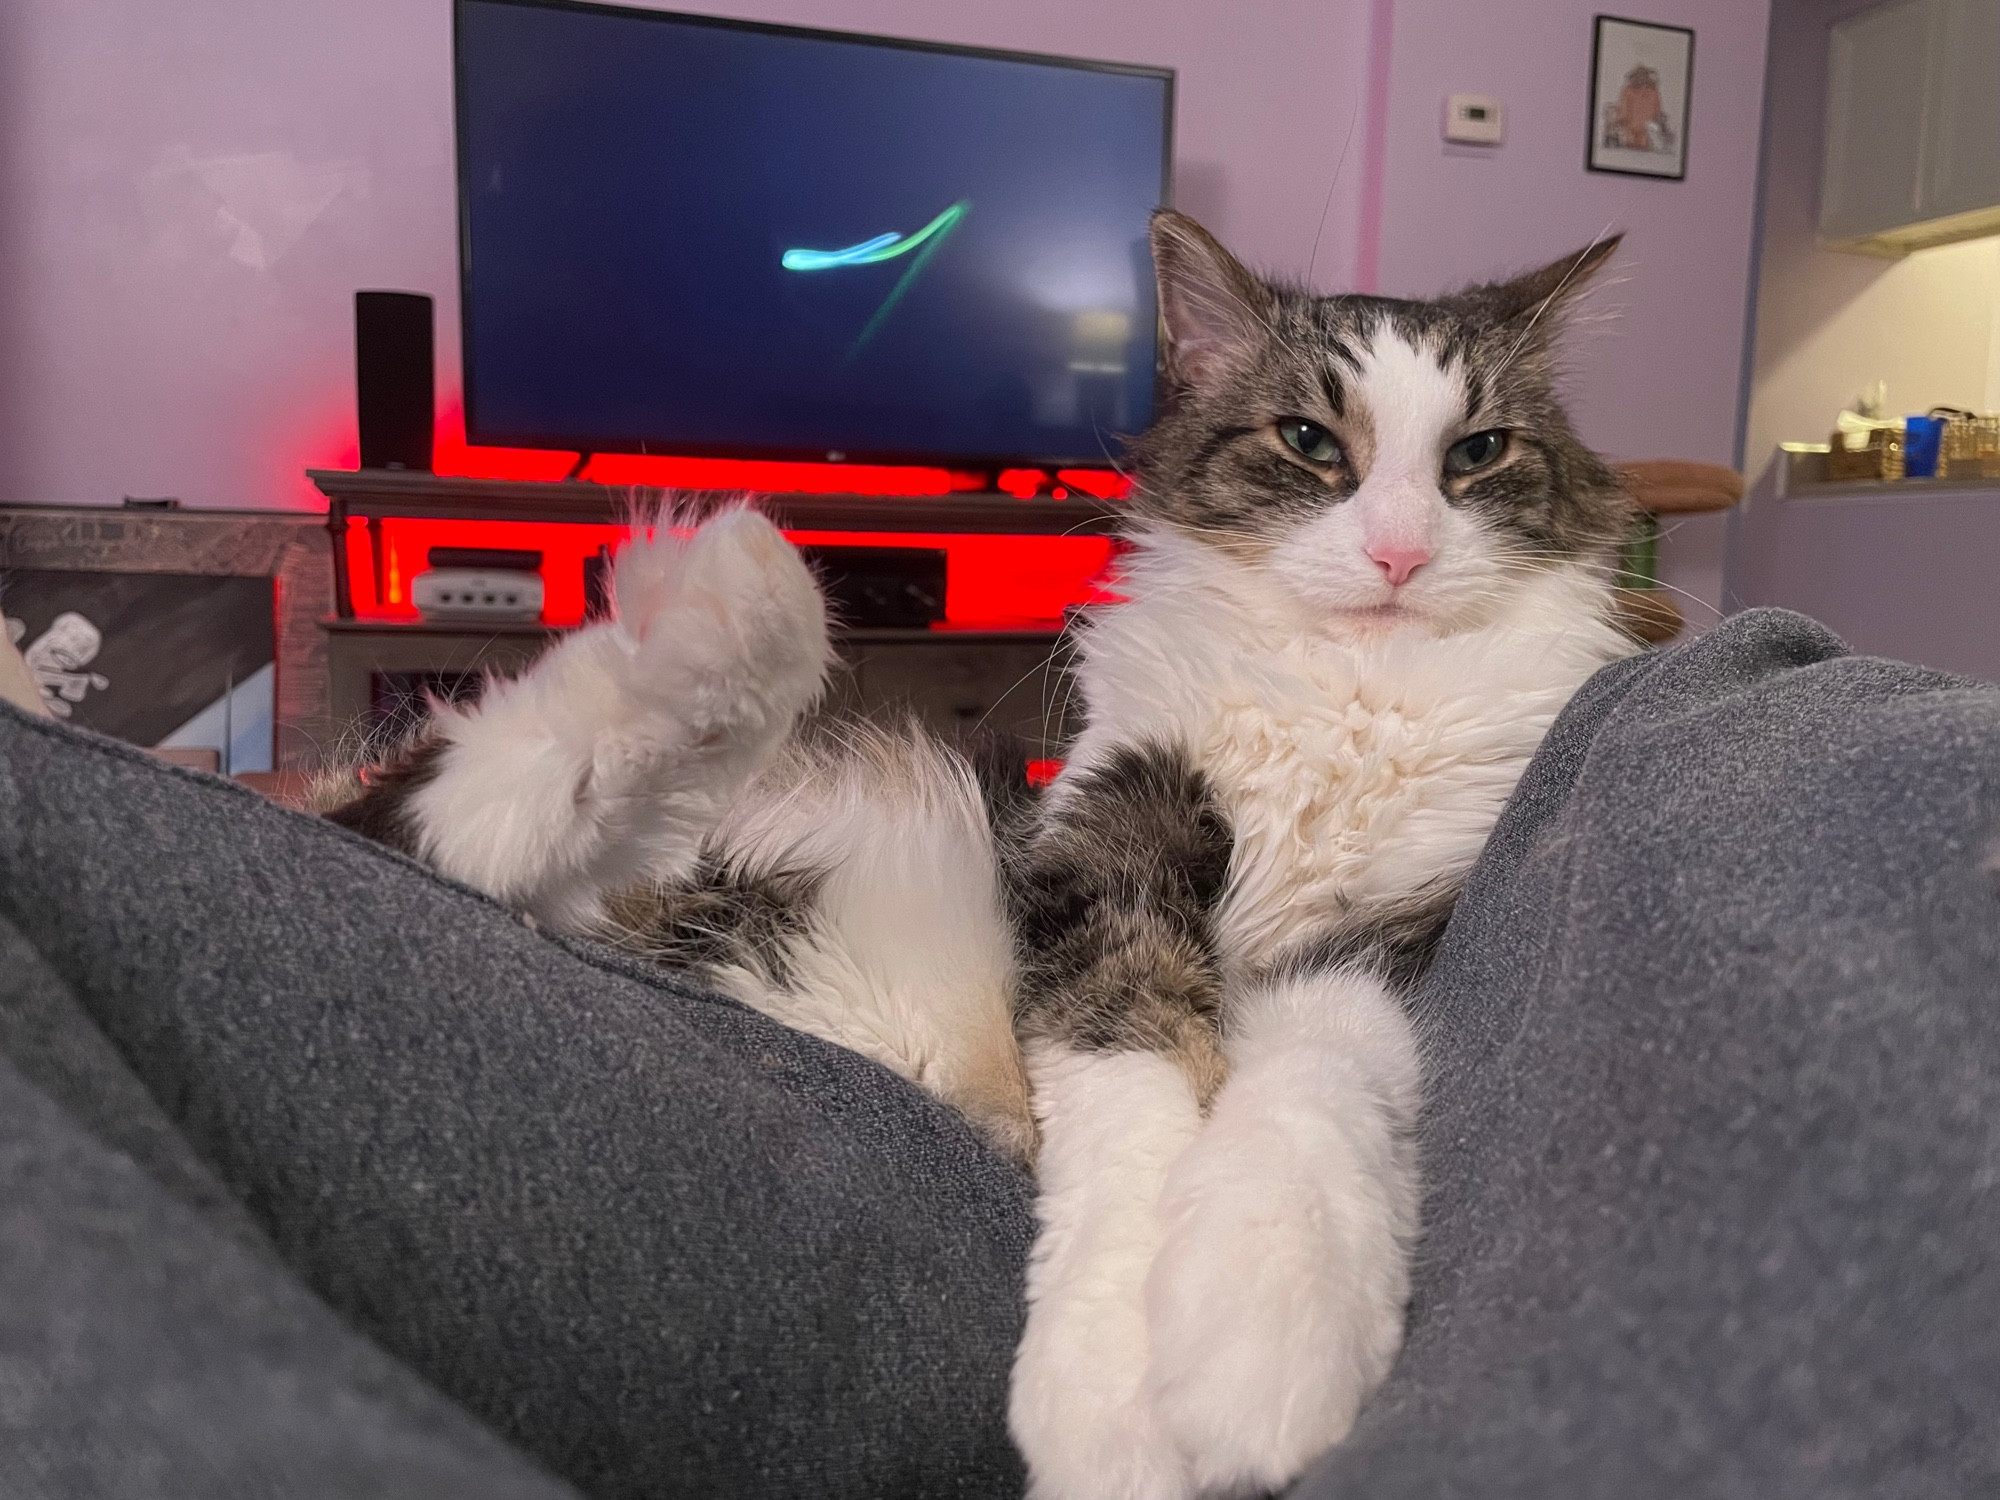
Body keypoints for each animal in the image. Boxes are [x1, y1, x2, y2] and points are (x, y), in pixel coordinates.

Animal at [332, 214, 1640, 1500]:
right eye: (1310, 441)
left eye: (1476, 454)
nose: (1399, 557)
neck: (1348, 694)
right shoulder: (1098, 861)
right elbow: (1131, 1098)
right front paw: (1112, 1404)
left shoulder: (1384, 936)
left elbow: (1308, 1100)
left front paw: (1262, 1339)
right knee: (486, 797)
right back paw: (725, 596)